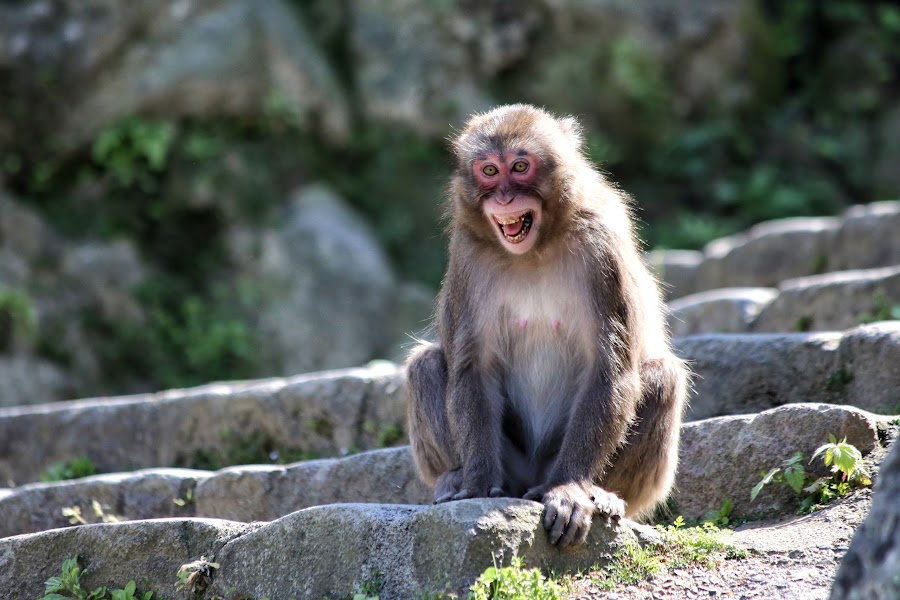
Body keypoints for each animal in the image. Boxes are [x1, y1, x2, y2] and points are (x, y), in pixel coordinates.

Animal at [408, 104, 688, 548]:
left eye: (521, 167)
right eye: (490, 171)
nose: (505, 196)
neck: (533, 251)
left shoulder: (601, 248)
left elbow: (609, 368)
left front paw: (569, 488)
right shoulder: (468, 256)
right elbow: (473, 366)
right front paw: (478, 481)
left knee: (662, 377)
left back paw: (603, 493)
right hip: (515, 466)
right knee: (426, 364)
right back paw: (453, 477)